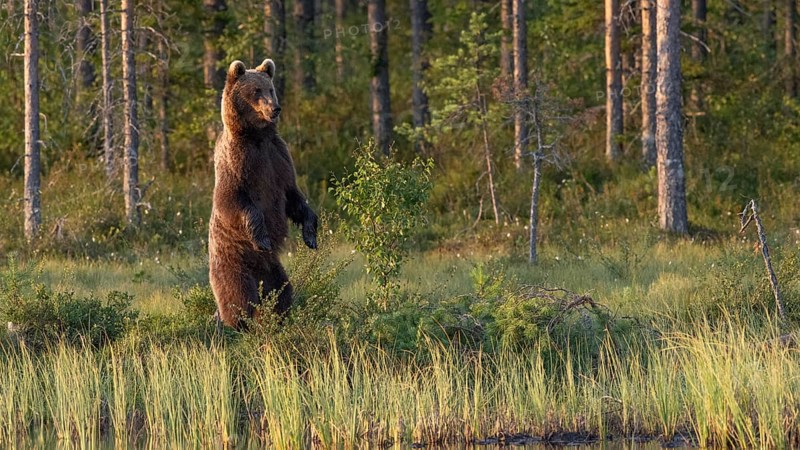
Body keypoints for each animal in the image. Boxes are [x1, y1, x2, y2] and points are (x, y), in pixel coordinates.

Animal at [208, 59, 318, 330]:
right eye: (256, 91)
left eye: (271, 89)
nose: (275, 108)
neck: (256, 136)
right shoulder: (237, 164)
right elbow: (234, 202)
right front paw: (263, 238)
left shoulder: (278, 159)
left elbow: (294, 198)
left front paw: (310, 235)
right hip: (234, 265)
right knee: (238, 297)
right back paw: (236, 324)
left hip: (273, 271)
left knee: (283, 291)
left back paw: (279, 318)